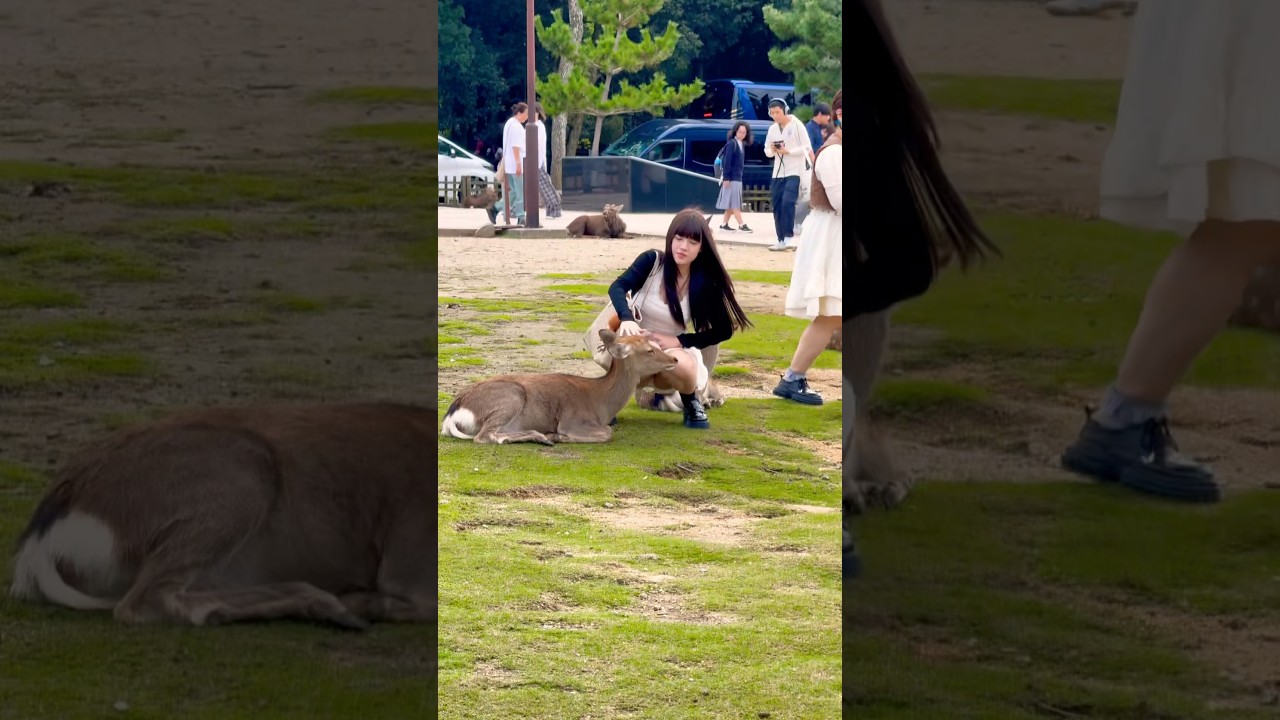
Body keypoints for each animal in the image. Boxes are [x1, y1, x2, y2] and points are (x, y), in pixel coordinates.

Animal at [441, 329, 676, 445]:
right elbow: (608, 432)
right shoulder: (572, 420)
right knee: (485, 436)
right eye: (650, 350)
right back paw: (543, 437)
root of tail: (452, 416)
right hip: (511, 398)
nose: (674, 358)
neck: (600, 404)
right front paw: (559, 436)